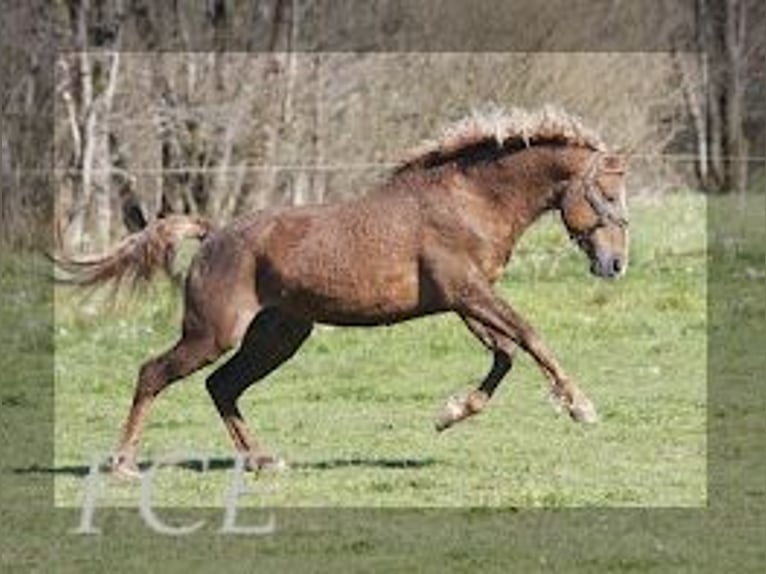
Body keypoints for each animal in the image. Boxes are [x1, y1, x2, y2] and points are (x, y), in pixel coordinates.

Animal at [58, 106, 632, 480]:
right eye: (606, 193)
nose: (615, 264)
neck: (470, 200)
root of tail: (213, 233)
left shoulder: (465, 300)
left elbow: (505, 353)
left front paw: (449, 413)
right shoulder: (467, 292)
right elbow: (530, 338)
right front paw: (580, 406)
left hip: (278, 336)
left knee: (222, 386)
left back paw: (264, 460)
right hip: (213, 334)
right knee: (154, 374)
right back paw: (124, 466)